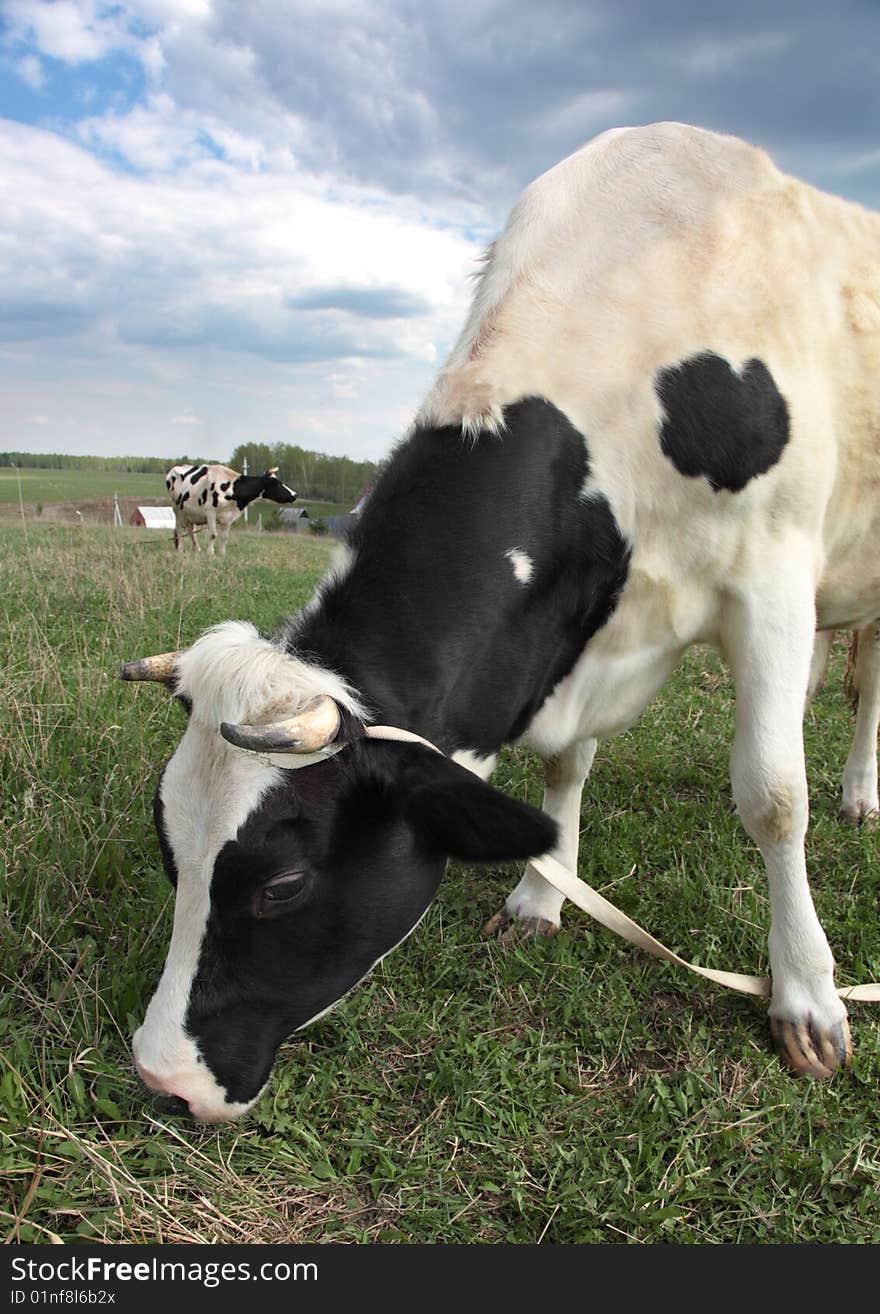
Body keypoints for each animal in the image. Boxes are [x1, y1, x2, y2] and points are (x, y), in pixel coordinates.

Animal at [167, 462, 298, 554]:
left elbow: (224, 537)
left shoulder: (228, 516)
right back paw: (180, 549)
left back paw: (196, 548)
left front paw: (222, 553)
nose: (295, 494)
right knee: (179, 530)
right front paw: (210, 553)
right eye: (278, 484)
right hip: (178, 510)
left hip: (190, 513)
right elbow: (213, 534)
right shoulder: (210, 512)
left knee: (190, 530)